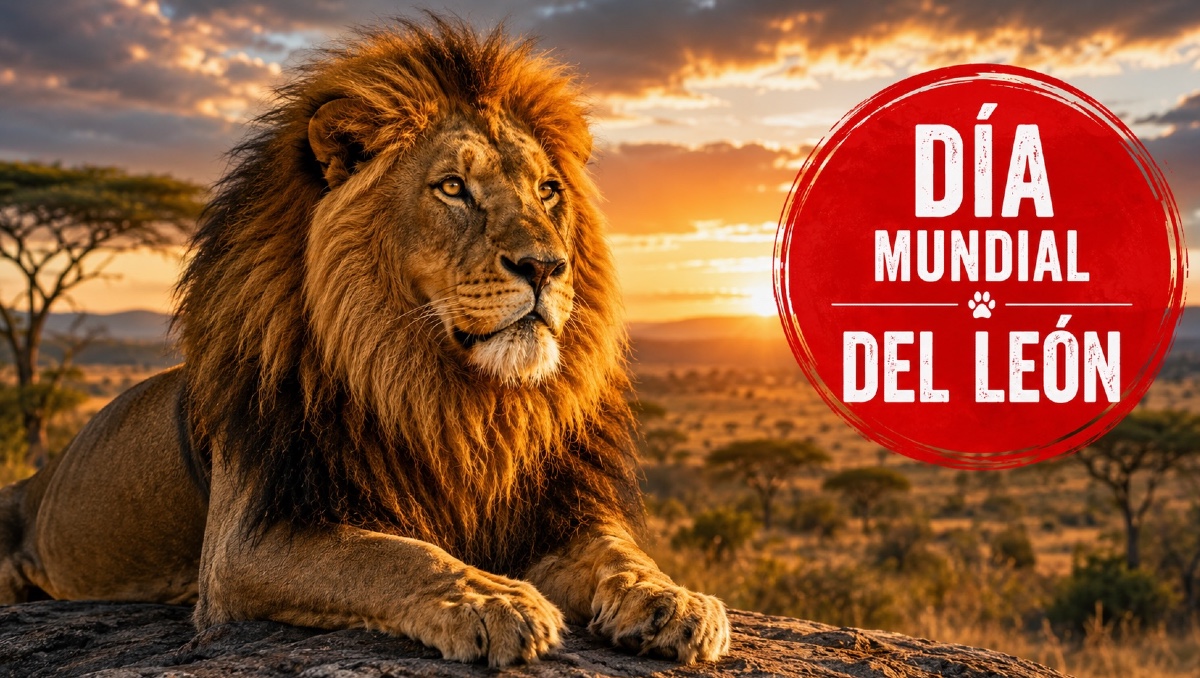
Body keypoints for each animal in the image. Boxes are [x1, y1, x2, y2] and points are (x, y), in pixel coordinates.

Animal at [0, 15, 731, 667]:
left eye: (548, 190)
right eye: (453, 187)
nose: (547, 267)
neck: (457, 402)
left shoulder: (557, 512)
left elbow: (621, 552)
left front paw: (674, 600)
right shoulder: (244, 542)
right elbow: (390, 554)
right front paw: (491, 601)